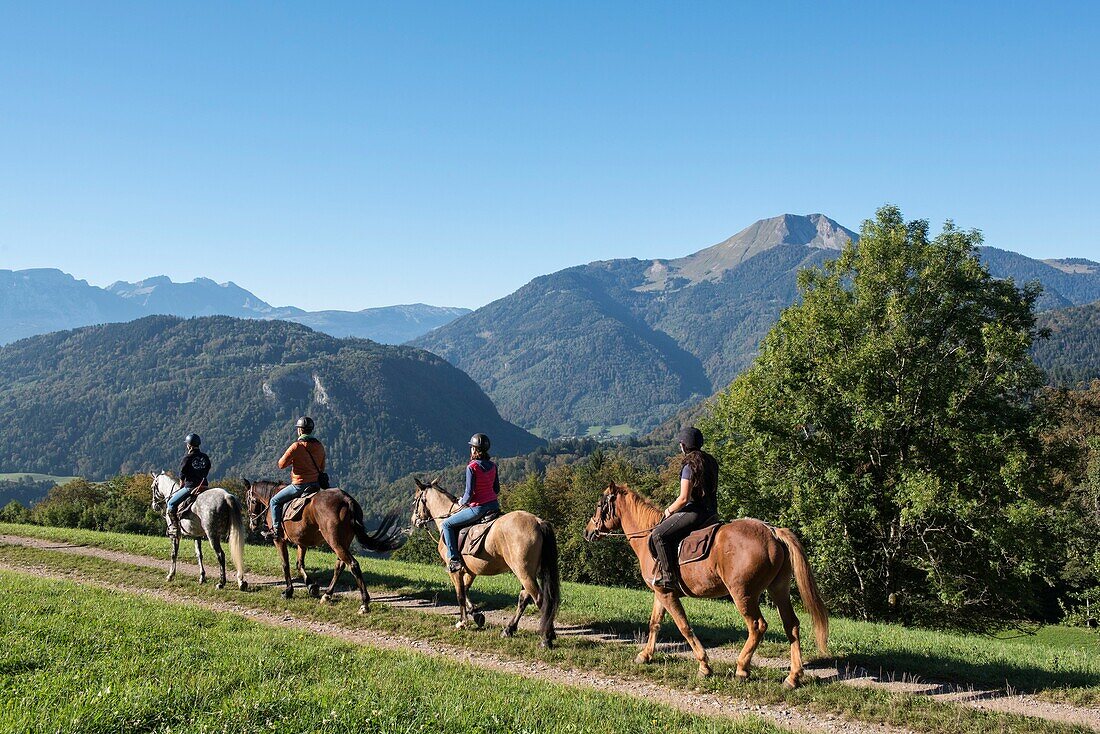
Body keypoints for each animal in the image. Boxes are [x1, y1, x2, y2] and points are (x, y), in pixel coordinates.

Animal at [245, 481, 404, 616]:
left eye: (249, 501)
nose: (252, 524)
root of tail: (346, 500)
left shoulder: (278, 540)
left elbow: (286, 565)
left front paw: (289, 591)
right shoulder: (301, 542)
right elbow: (299, 564)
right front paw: (311, 587)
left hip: (334, 541)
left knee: (353, 565)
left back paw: (364, 603)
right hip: (343, 541)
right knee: (340, 566)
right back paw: (327, 595)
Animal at [411, 481, 563, 647]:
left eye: (415, 499)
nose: (413, 520)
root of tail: (538, 521)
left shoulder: (455, 570)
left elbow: (460, 594)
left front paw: (462, 622)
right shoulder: (470, 571)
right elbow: (465, 590)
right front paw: (476, 615)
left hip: (524, 572)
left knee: (541, 600)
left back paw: (546, 638)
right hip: (528, 573)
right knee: (524, 599)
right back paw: (510, 629)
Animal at [585, 484, 827, 686]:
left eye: (599, 505)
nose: (588, 531)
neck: (647, 537)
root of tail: (772, 532)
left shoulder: (667, 594)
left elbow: (684, 627)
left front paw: (704, 665)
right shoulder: (661, 592)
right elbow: (655, 623)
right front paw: (645, 655)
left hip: (743, 594)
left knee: (757, 626)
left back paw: (742, 669)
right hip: (779, 589)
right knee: (791, 625)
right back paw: (793, 677)